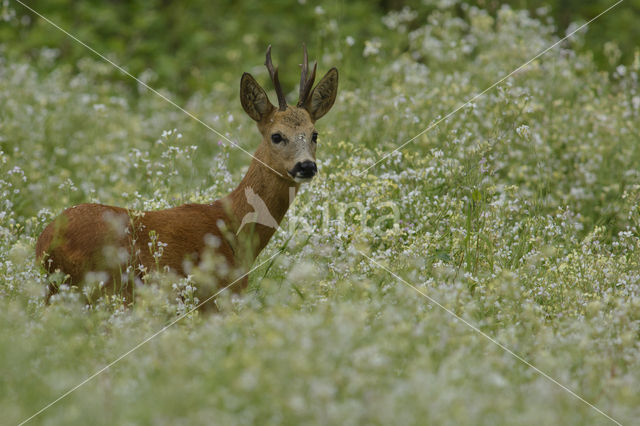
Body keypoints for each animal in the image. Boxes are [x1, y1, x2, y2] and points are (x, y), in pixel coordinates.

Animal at [33, 45, 340, 306]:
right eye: (277, 136)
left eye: (314, 134)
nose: (306, 166)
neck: (234, 228)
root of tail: (45, 244)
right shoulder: (216, 298)